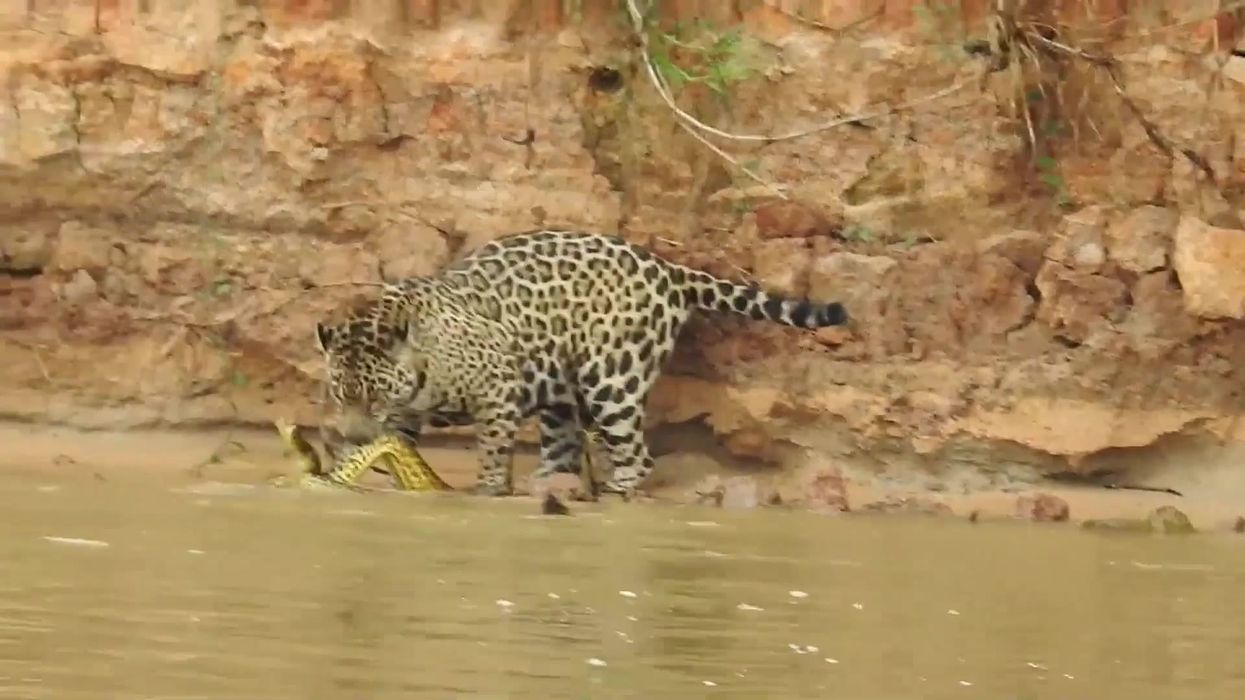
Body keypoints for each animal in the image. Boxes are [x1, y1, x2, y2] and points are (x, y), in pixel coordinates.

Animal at [313, 229, 848, 500]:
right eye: (339, 395)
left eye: (375, 396)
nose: (354, 434)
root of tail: (668, 269)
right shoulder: (405, 415)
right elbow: (396, 444)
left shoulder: (498, 389)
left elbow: (492, 448)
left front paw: (489, 487)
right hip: (560, 394)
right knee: (564, 447)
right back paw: (552, 484)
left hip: (614, 378)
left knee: (637, 454)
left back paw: (614, 487)